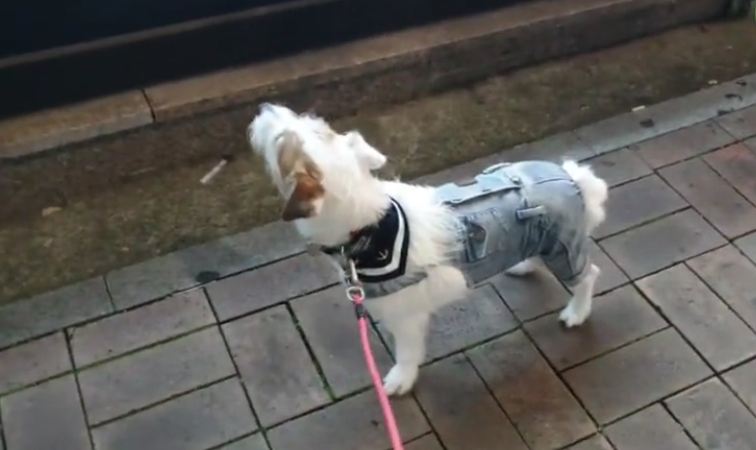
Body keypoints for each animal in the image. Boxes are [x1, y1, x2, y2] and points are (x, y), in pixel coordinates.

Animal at [248, 103, 608, 396]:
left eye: (279, 142)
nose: (264, 107)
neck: (371, 225)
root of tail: (573, 178)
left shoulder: (405, 315)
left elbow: (407, 352)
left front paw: (400, 379)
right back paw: (523, 264)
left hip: (564, 248)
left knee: (589, 274)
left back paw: (577, 312)